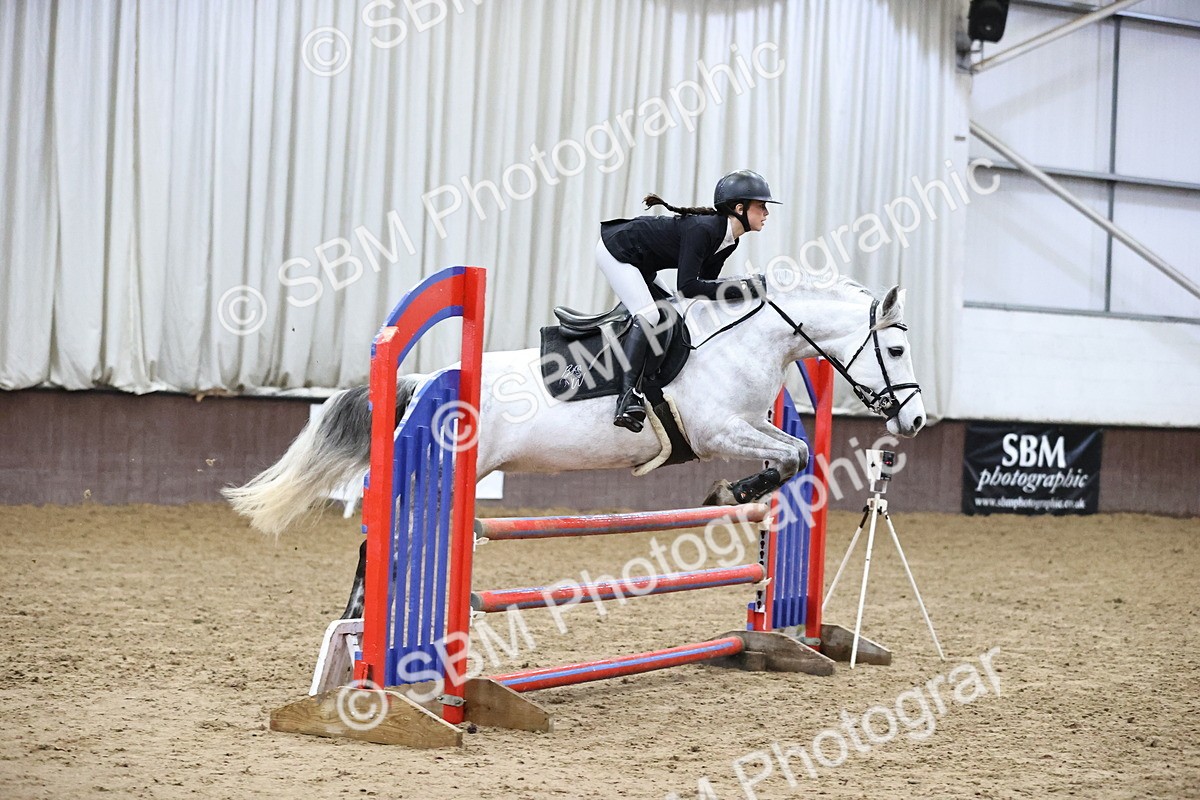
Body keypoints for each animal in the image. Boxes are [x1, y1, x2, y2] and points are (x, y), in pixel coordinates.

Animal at [222, 274, 926, 616]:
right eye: (895, 350)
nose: (915, 420)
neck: (743, 340)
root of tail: (426, 378)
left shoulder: (752, 423)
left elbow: (795, 453)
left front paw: (738, 491)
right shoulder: (716, 430)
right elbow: (792, 457)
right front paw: (730, 489)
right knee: (383, 537)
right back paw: (360, 624)